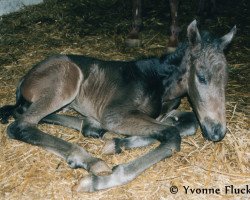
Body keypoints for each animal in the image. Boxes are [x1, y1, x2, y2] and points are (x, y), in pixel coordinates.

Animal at [0, 19, 235, 191]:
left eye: (226, 80)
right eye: (201, 77)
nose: (217, 133)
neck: (160, 82)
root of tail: (25, 77)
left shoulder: (163, 115)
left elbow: (187, 123)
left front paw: (117, 144)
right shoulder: (115, 115)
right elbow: (171, 134)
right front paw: (100, 181)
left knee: (23, 111)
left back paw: (92, 127)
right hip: (67, 79)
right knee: (21, 124)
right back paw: (88, 159)